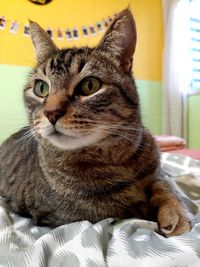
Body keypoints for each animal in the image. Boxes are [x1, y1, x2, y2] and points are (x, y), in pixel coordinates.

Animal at [0, 9, 194, 238]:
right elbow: (128, 207)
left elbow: (165, 184)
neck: (118, 158)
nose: (51, 113)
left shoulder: (157, 169)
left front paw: (176, 211)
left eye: (90, 86)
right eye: (41, 88)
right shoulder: (68, 216)